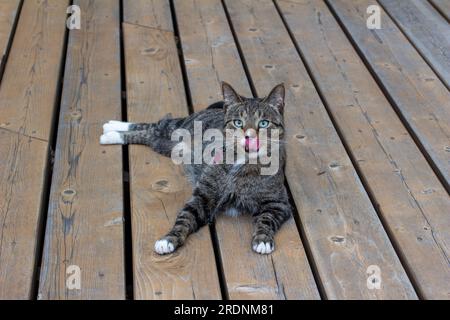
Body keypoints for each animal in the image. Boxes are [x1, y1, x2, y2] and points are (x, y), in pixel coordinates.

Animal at [99, 83, 292, 255]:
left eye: (264, 123)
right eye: (238, 122)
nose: (248, 137)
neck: (242, 162)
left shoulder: (278, 203)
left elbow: (266, 219)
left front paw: (263, 240)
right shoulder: (203, 196)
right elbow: (185, 217)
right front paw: (168, 239)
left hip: (167, 146)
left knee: (149, 136)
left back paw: (111, 133)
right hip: (177, 127)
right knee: (154, 125)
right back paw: (112, 128)